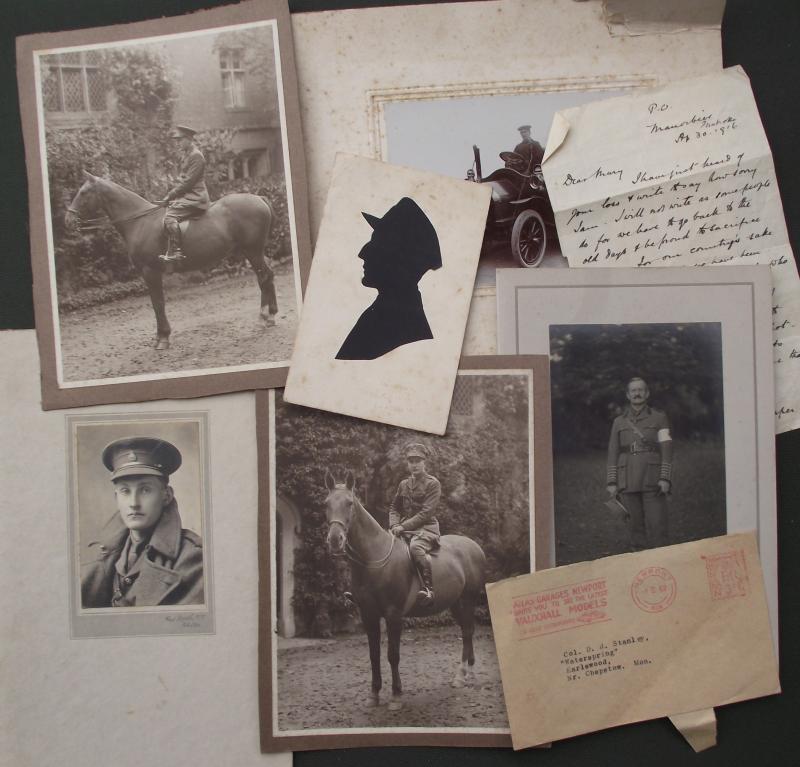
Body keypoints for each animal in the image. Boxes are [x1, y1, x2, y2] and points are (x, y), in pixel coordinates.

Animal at [63, 172, 276, 350]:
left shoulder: (150, 271)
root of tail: (259, 198)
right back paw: (272, 315)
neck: (140, 221)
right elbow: (157, 303)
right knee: (268, 275)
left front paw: (163, 338)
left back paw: (264, 317)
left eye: (83, 193)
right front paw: (160, 337)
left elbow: (158, 303)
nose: (68, 220)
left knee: (264, 277)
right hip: (254, 251)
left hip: (253, 251)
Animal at [324, 472, 488, 712]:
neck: (373, 559)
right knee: (466, 632)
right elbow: (374, 655)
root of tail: (474, 546)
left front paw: (396, 696)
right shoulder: (369, 615)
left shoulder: (394, 615)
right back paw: (466, 675)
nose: (335, 540)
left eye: (349, 503)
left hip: (467, 600)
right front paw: (374, 695)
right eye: (326, 504)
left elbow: (393, 655)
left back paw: (464, 676)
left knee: (467, 632)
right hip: (455, 604)